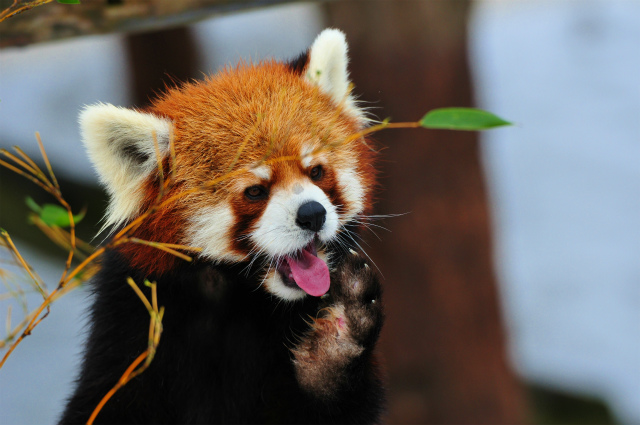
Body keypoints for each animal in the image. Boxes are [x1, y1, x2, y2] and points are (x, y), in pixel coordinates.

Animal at [60, 28, 382, 422]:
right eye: (256, 191)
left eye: (317, 172)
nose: (312, 214)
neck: (237, 295)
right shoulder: (130, 321)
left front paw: (338, 339)